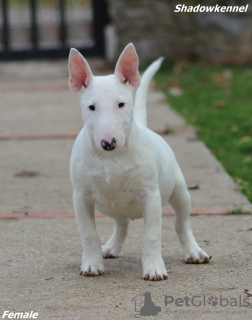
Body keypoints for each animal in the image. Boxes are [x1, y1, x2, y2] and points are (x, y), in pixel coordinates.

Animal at [68, 43, 210, 282]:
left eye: (121, 104)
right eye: (91, 107)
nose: (108, 142)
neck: (110, 158)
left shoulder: (150, 196)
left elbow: (152, 235)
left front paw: (154, 269)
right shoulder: (81, 197)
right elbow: (88, 233)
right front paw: (92, 264)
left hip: (179, 190)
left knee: (182, 222)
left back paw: (194, 252)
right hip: (111, 205)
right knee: (122, 223)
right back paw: (110, 247)